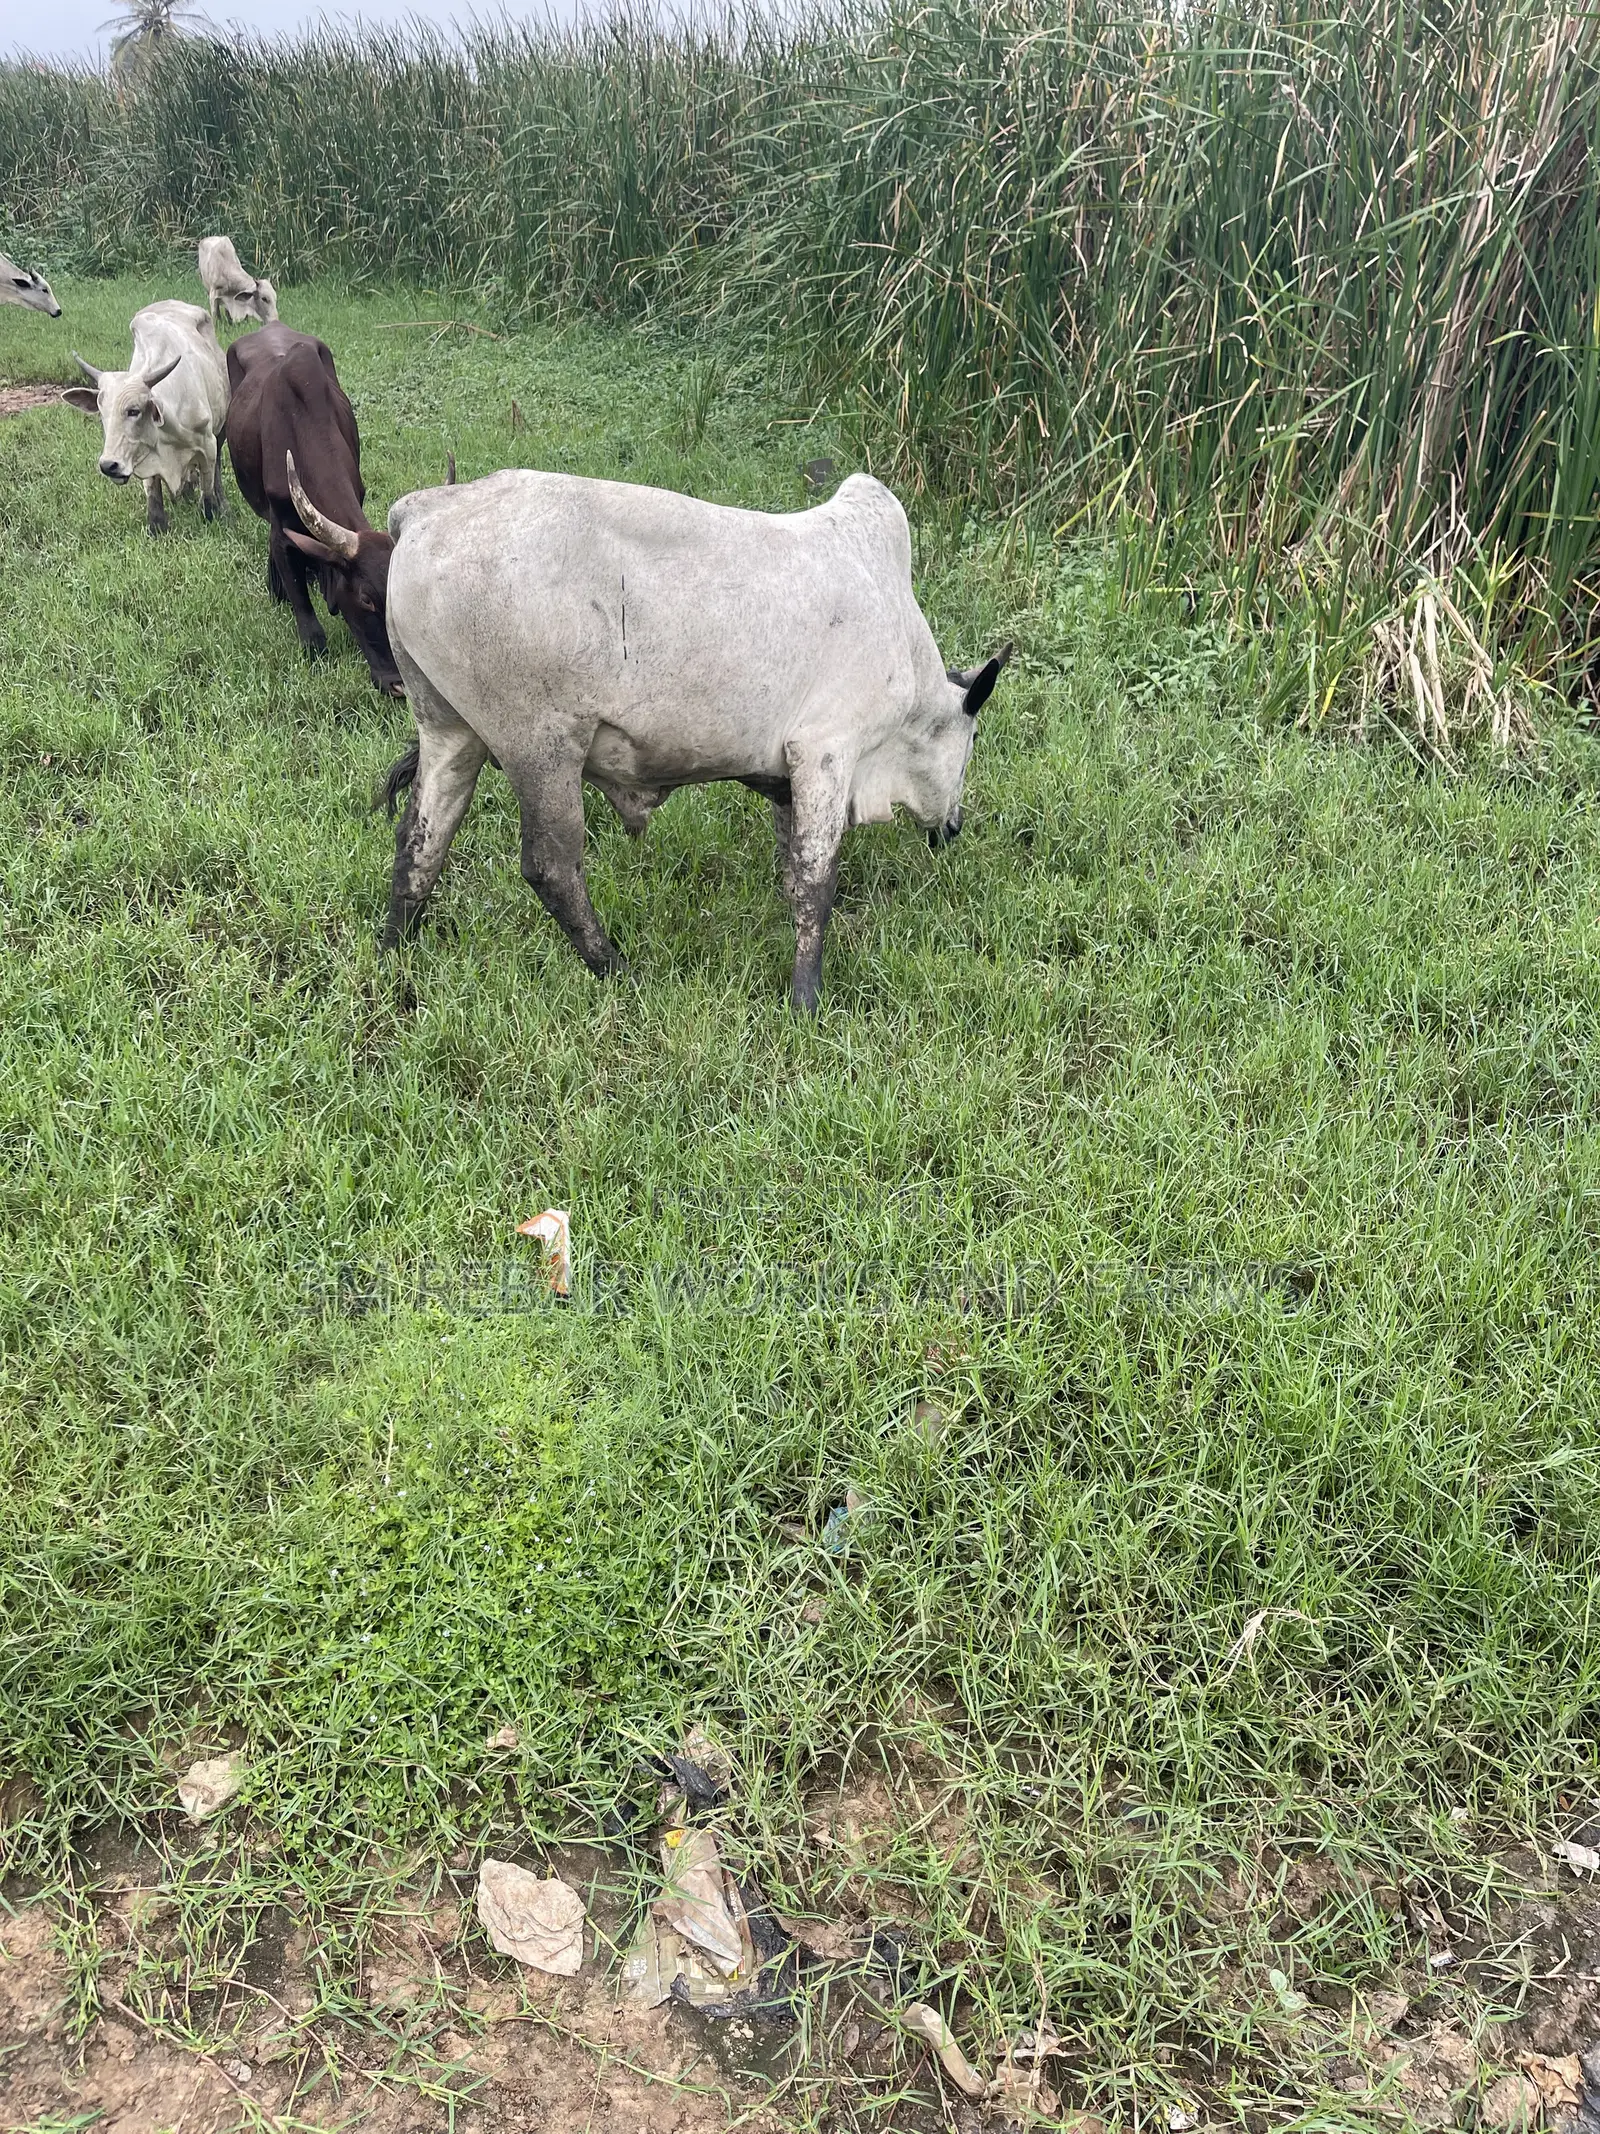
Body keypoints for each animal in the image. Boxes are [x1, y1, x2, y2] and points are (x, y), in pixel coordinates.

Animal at [63, 300, 228, 536]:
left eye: (134, 410)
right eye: (102, 413)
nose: (108, 465)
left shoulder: (208, 443)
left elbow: (208, 487)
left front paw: (214, 513)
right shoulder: (146, 457)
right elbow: (153, 493)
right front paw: (157, 527)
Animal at [377, 468, 1012, 1010]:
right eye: (973, 738)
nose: (953, 826)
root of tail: (428, 508)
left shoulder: (786, 775)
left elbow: (792, 866)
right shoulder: (827, 750)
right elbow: (816, 880)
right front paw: (805, 1000)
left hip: (449, 731)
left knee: (421, 839)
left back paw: (393, 952)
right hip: (541, 745)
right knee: (549, 864)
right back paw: (616, 969)